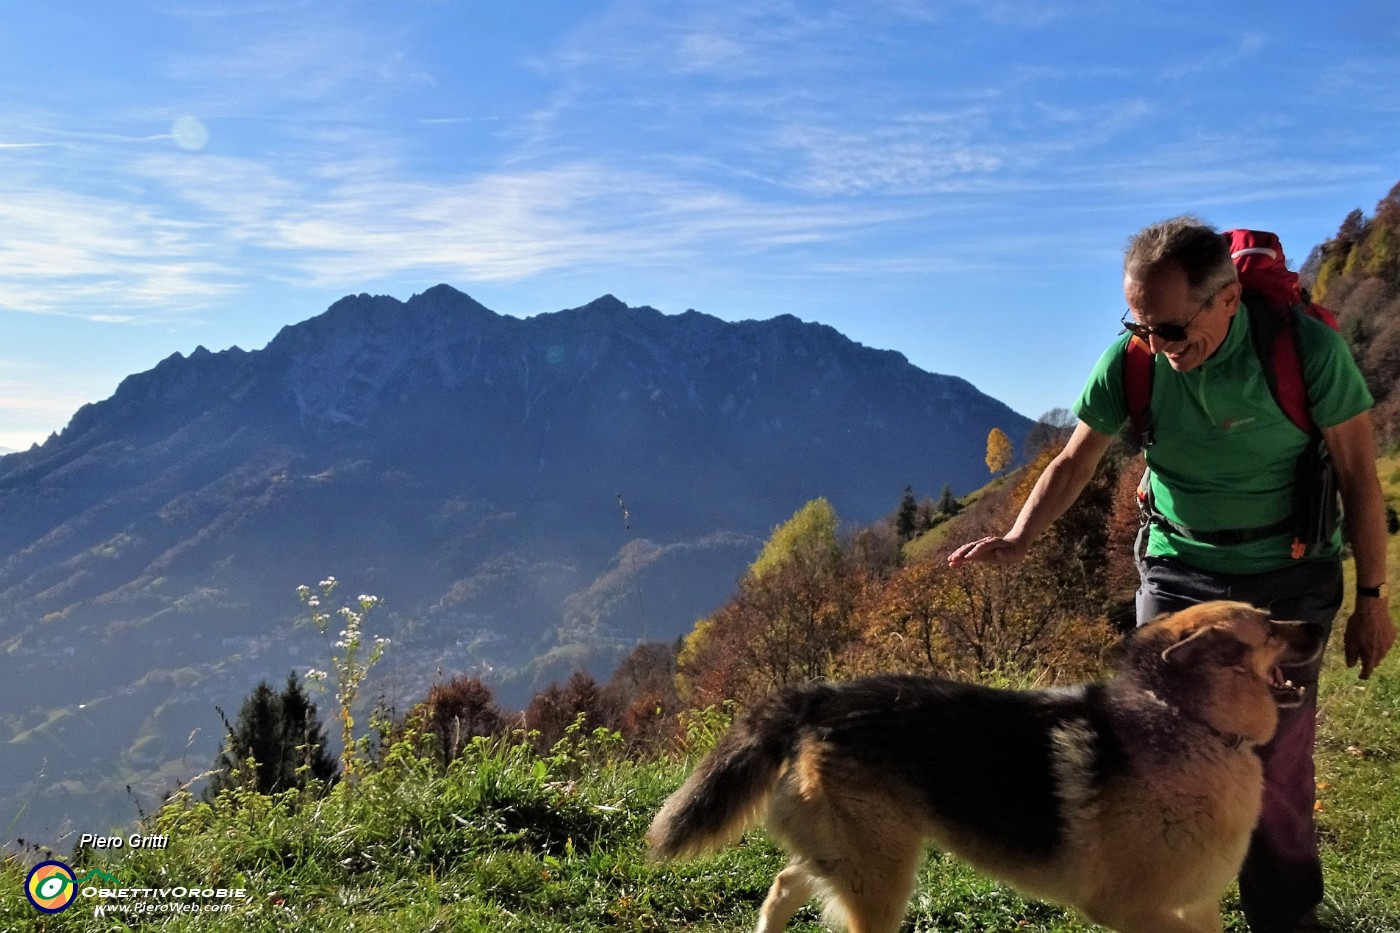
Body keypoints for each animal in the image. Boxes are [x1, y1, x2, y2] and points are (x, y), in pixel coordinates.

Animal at [644, 599, 1321, 930]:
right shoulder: (1130, 910)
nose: (1319, 623)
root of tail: (815, 696)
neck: (1189, 722)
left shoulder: (1195, 907)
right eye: (1267, 627)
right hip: (880, 880)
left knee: (784, 884)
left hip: (855, 859)